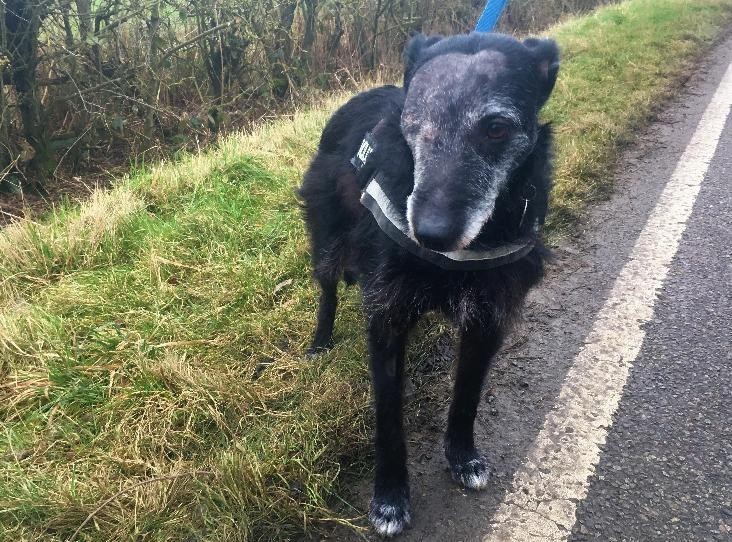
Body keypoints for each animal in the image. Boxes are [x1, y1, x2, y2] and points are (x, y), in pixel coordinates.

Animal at [300, 31, 556, 536]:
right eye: (413, 125)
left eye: (496, 128)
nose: (431, 234)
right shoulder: (386, 321)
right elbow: (389, 417)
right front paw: (389, 497)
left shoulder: (487, 321)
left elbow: (467, 396)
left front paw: (461, 455)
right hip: (328, 244)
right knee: (328, 290)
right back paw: (320, 341)